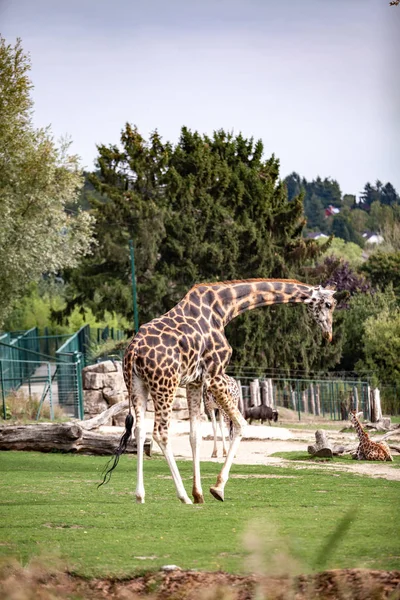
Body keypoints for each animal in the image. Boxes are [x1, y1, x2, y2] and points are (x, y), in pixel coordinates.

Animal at [101, 278, 338, 504]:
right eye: (329, 304)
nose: (329, 335)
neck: (224, 309)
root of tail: (132, 352)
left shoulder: (195, 382)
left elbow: (195, 435)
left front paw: (199, 493)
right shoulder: (214, 375)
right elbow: (241, 425)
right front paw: (217, 488)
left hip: (137, 385)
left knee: (140, 430)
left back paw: (140, 495)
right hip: (165, 385)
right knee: (160, 432)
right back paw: (182, 496)